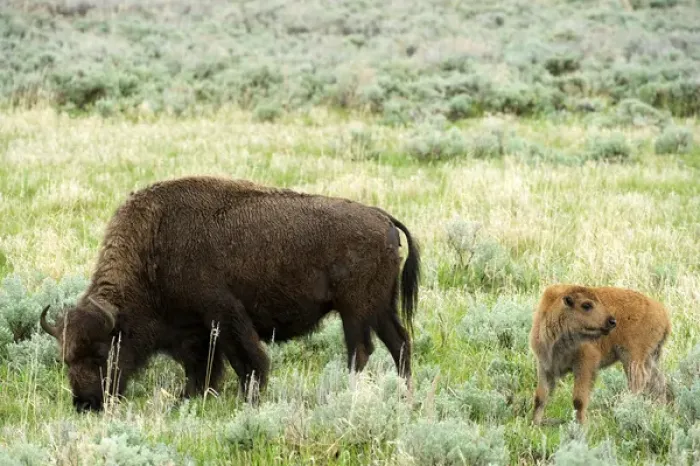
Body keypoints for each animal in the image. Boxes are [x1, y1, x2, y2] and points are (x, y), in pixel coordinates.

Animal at [40, 176, 421, 412]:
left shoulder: (223, 315)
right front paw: (188, 398)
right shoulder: (193, 331)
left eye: (102, 352)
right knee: (399, 342)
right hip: (380, 307)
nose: (86, 404)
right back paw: (404, 392)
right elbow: (203, 367)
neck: (154, 248)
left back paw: (349, 390)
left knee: (361, 349)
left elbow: (246, 361)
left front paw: (248, 400)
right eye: (66, 359)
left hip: (354, 310)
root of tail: (382, 218)